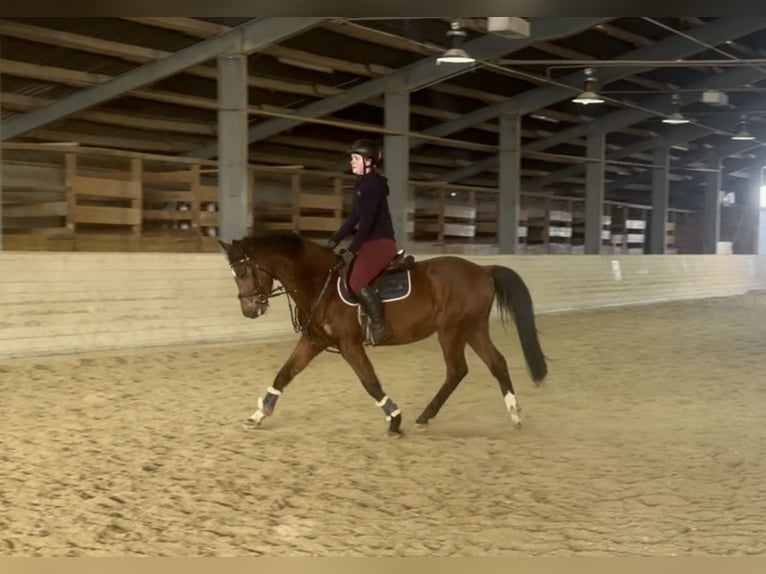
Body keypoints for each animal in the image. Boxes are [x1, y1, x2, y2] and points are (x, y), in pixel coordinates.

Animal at [217, 230, 547, 436]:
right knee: (497, 363)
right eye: (234, 274)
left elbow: (370, 382)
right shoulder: (313, 341)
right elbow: (283, 375)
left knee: (457, 370)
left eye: (243, 271)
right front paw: (258, 416)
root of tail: (482, 269)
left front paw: (394, 419)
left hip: (452, 331)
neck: (319, 283)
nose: (250, 310)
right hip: (474, 329)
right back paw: (514, 414)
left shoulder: (350, 345)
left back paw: (425, 416)